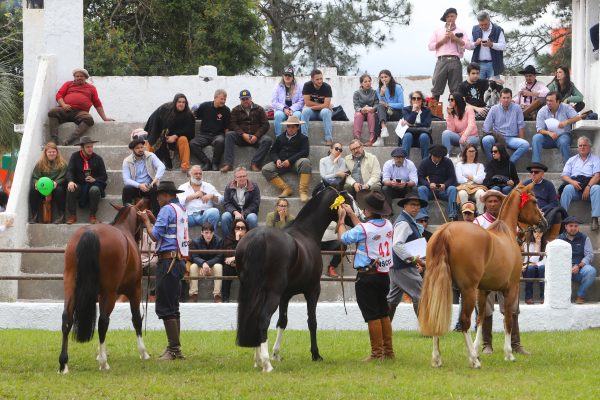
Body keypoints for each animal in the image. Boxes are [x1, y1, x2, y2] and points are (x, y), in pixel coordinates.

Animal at [59, 199, 152, 372]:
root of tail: (90, 233)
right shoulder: (135, 290)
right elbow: (136, 319)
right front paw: (143, 352)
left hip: (70, 286)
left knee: (66, 319)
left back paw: (63, 364)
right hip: (110, 293)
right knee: (103, 321)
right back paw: (104, 363)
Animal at [420, 183, 548, 368]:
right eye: (535, 201)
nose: (544, 223)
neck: (506, 233)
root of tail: (446, 230)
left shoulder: (483, 290)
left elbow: (481, 318)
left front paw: (477, 349)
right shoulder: (511, 288)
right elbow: (508, 319)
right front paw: (508, 354)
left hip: (439, 284)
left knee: (436, 314)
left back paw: (437, 358)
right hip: (467, 289)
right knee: (464, 321)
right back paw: (474, 361)